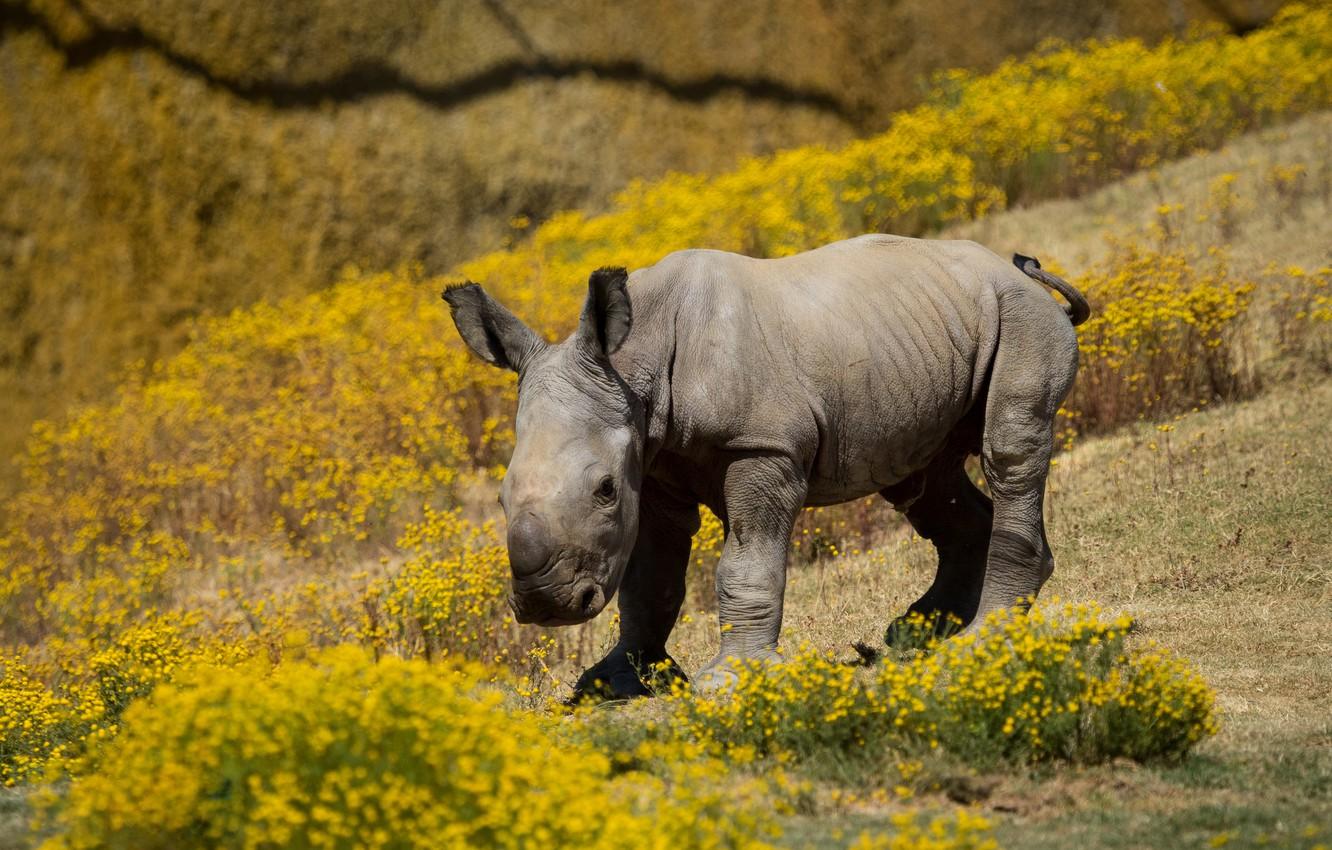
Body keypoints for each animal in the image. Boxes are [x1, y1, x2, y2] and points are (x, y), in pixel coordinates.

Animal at [443, 234, 1089, 698]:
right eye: (500, 499)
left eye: (603, 489)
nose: (546, 605)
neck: (631, 366)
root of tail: (1022, 273)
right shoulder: (651, 463)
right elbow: (649, 580)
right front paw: (612, 683)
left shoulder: (761, 446)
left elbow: (744, 564)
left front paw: (727, 681)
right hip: (921, 338)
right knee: (923, 480)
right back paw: (917, 632)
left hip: (1021, 320)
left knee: (1007, 450)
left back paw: (983, 637)